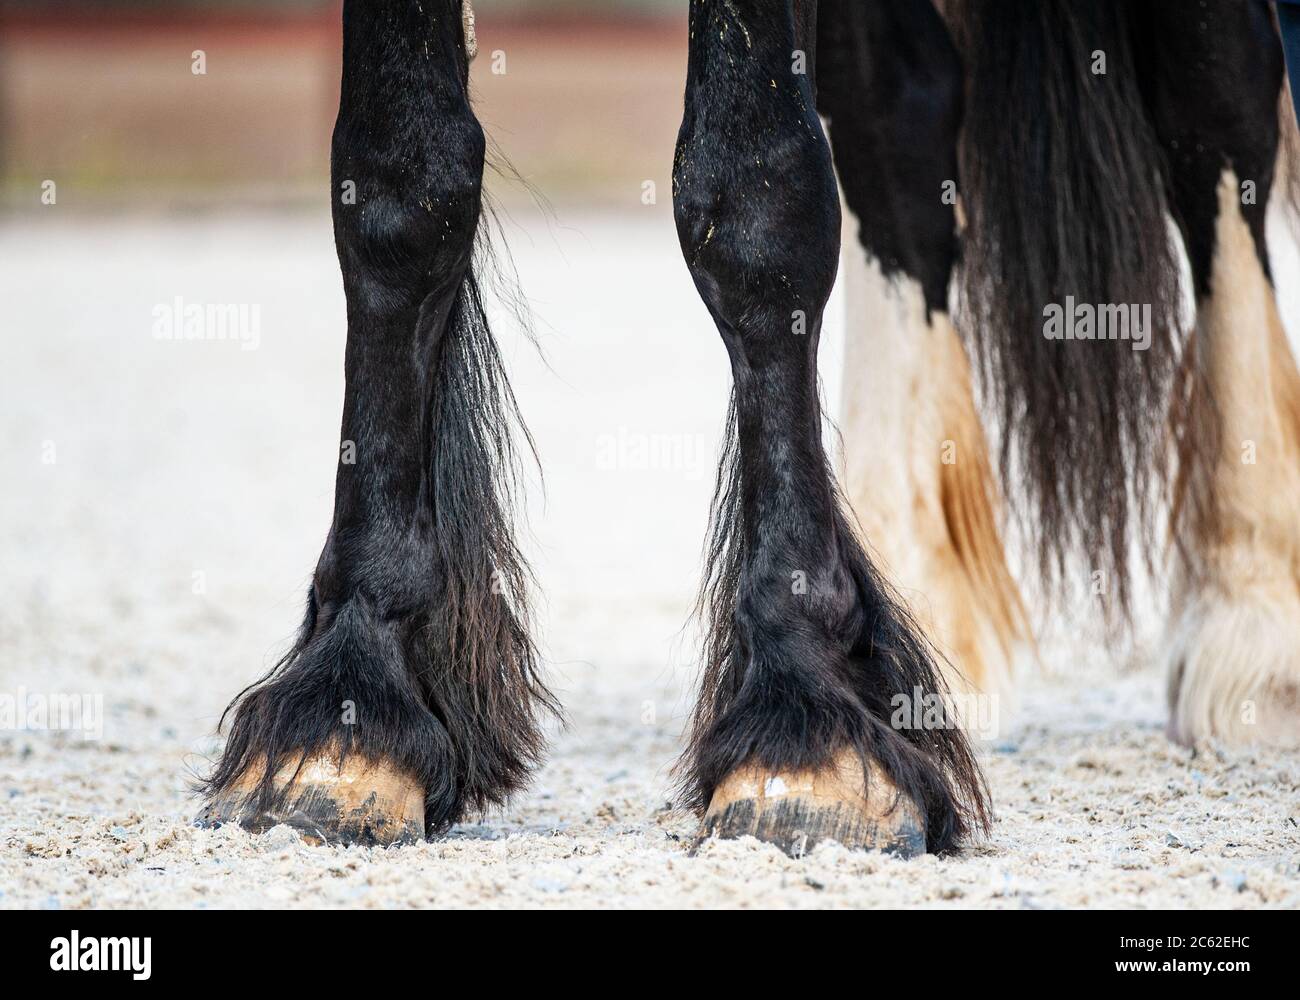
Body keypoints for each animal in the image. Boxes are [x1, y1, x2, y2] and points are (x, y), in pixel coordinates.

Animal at [197, 0, 1300, 858]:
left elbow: (757, 188)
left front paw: (805, 716)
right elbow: (397, 177)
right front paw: (352, 697)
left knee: (1219, 95)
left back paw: (1250, 612)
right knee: (899, 111)